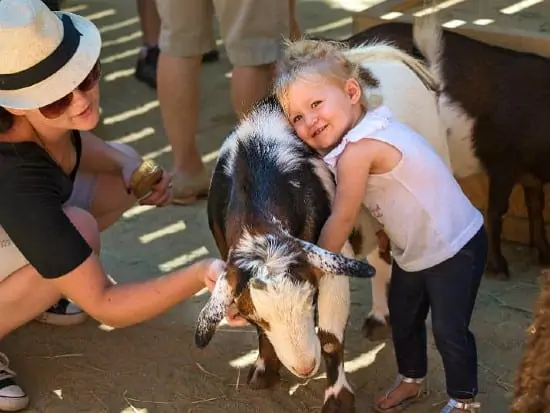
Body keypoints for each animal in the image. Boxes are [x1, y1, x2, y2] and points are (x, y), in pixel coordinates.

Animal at [342, 16, 550, 280]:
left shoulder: (530, 175)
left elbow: (536, 207)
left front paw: (545, 256)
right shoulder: (503, 162)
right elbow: (496, 211)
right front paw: (500, 269)